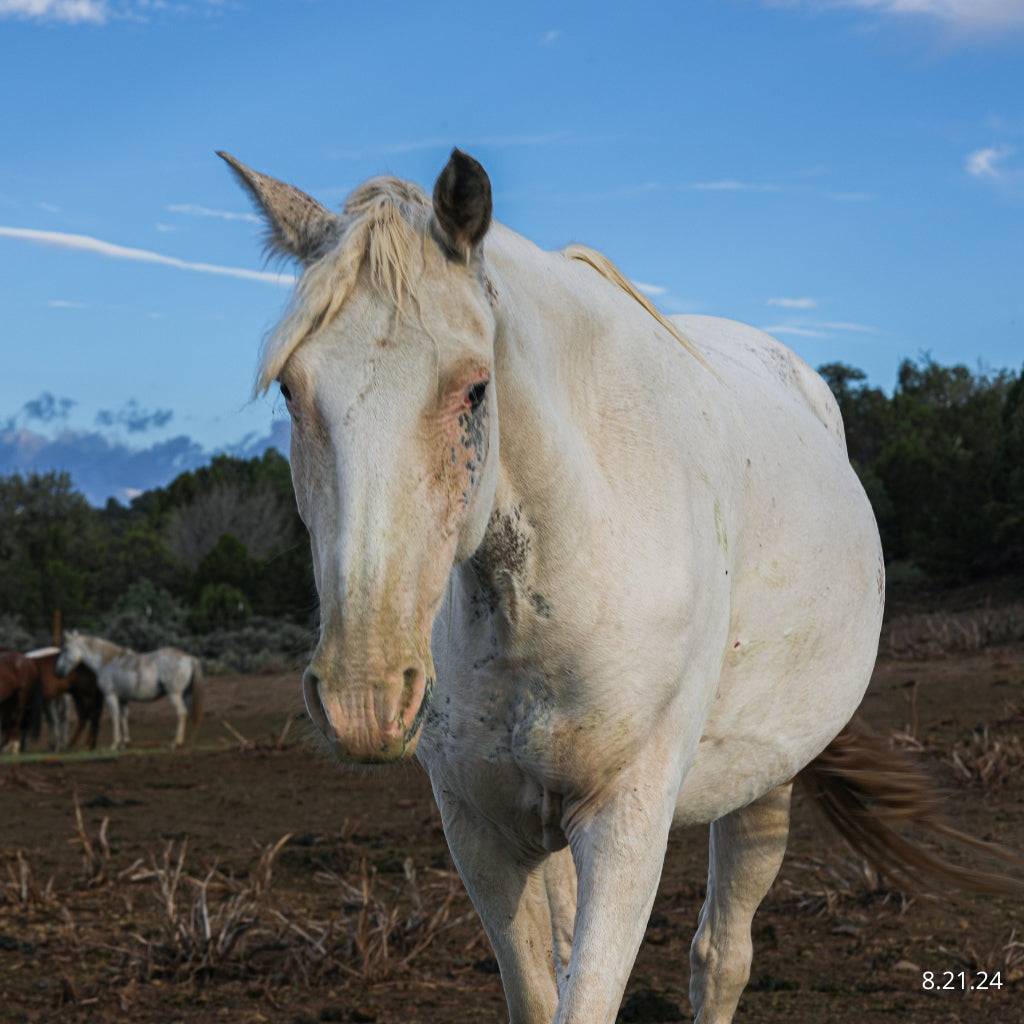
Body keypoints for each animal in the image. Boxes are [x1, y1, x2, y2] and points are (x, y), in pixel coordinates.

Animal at [56, 626, 203, 749]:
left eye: (65, 649)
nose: (58, 671)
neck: (107, 662)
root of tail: (189, 658)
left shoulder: (111, 696)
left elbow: (115, 717)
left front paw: (115, 744)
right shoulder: (123, 699)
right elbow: (123, 718)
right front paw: (125, 743)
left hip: (174, 694)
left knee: (181, 713)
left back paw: (175, 743)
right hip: (185, 695)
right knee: (187, 713)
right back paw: (184, 742)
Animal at [218, 146, 1015, 1024]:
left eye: (475, 387)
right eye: (290, 389)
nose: (362, 699)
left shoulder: (625, 822)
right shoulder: (482, 829)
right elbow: (545, 993)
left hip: (766, 780)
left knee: (722, 957)